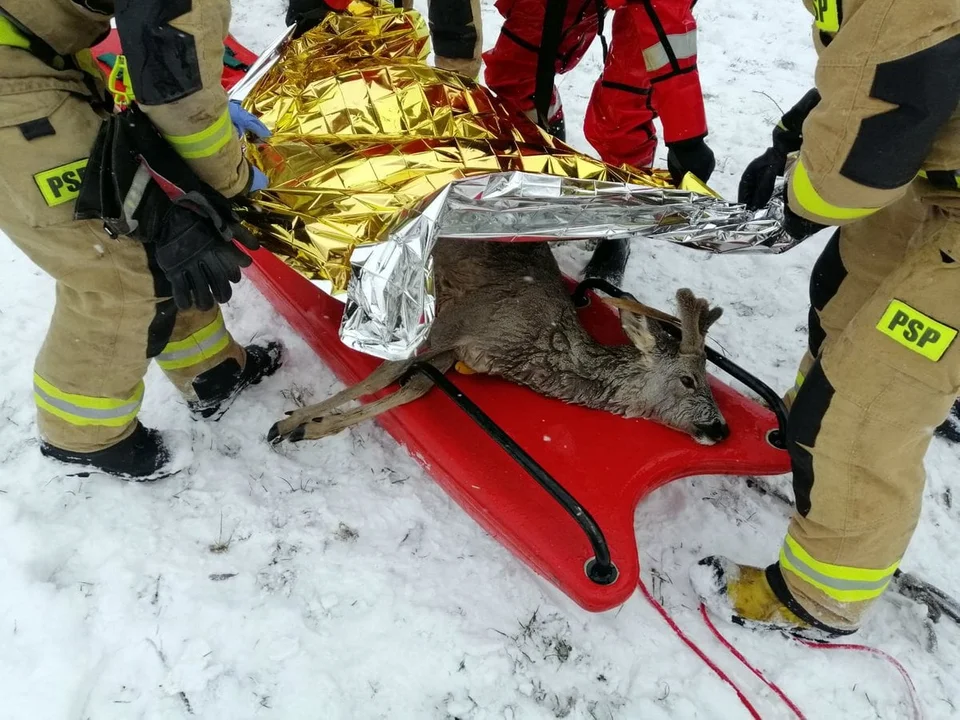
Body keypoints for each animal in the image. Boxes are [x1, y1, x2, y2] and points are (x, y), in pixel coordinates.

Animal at [266, 239, 724, 444]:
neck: (533, 348)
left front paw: (312, 426)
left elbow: (415, 388)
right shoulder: (454, 320)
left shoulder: (458, 348)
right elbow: (382, 376)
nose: (721, 428)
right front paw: (290, 422)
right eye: (688, 380)